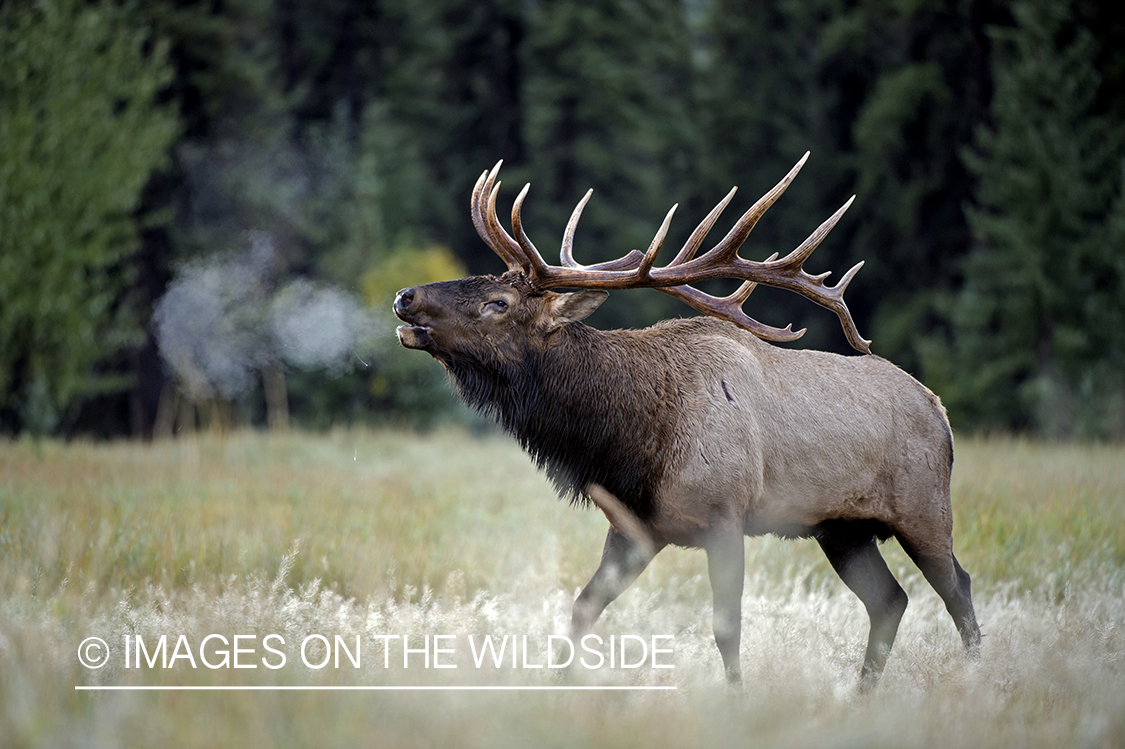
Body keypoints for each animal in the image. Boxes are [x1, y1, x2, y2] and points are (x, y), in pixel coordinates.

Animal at [391, 151, 981, 683]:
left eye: (499, 302)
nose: (405, 296)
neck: (633, 444)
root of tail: (940, 410)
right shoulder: (633, 530)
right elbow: (582, 607)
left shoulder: (726, 517)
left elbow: (726, 629)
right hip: (842, 529)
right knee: (890, 601)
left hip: (925, 508)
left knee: (959, 589)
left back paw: (976, 682)